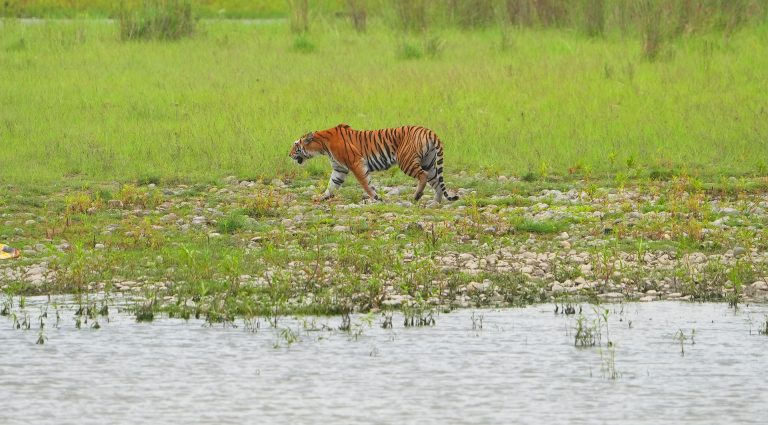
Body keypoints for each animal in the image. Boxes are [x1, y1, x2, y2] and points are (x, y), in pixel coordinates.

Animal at [289, 124, 459, 203]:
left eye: (296, 145)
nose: (289, 154)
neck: (322, 146)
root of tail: (429, 131)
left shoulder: (356, 163)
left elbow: (365, 183)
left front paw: (374, 198)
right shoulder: (339, 169)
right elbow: (332, 185)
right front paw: (322, 197)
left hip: (407, 161)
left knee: (423, 176)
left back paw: (417, 196)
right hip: (428, 162)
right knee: (436, 181)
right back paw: (435, 202)